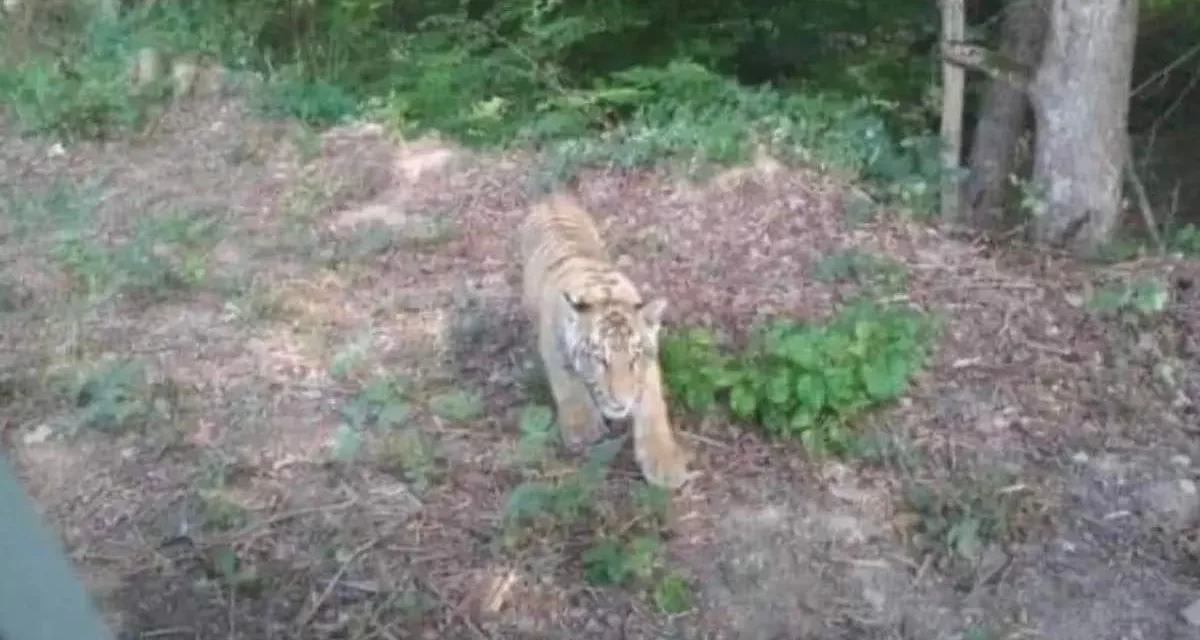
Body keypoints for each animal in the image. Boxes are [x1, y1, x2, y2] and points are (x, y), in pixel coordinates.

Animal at [516, 190, 696, 489]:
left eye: (634, 359)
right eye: (600, 359)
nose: (620, 403)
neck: (603, 294)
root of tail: (551, 197)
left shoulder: (648, 366)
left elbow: (652, 406)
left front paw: (663, 461)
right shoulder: (553, 346)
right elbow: (567, 382)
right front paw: (583, 427)